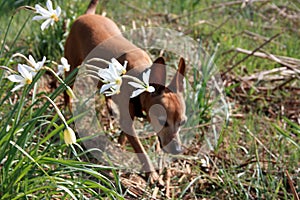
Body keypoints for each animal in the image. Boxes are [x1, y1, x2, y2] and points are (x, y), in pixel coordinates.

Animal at [64, 0, 186, 184]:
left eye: (182, 123)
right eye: (161, 120)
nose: (177, 150)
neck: (140, 81)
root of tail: (88, 14)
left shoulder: (128, 119)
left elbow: (124, 136)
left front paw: (119, 146)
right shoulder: (128, 122)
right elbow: (140, 148)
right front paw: (151, 172)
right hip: (71, 68)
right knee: (66, 91)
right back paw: (67, 111)